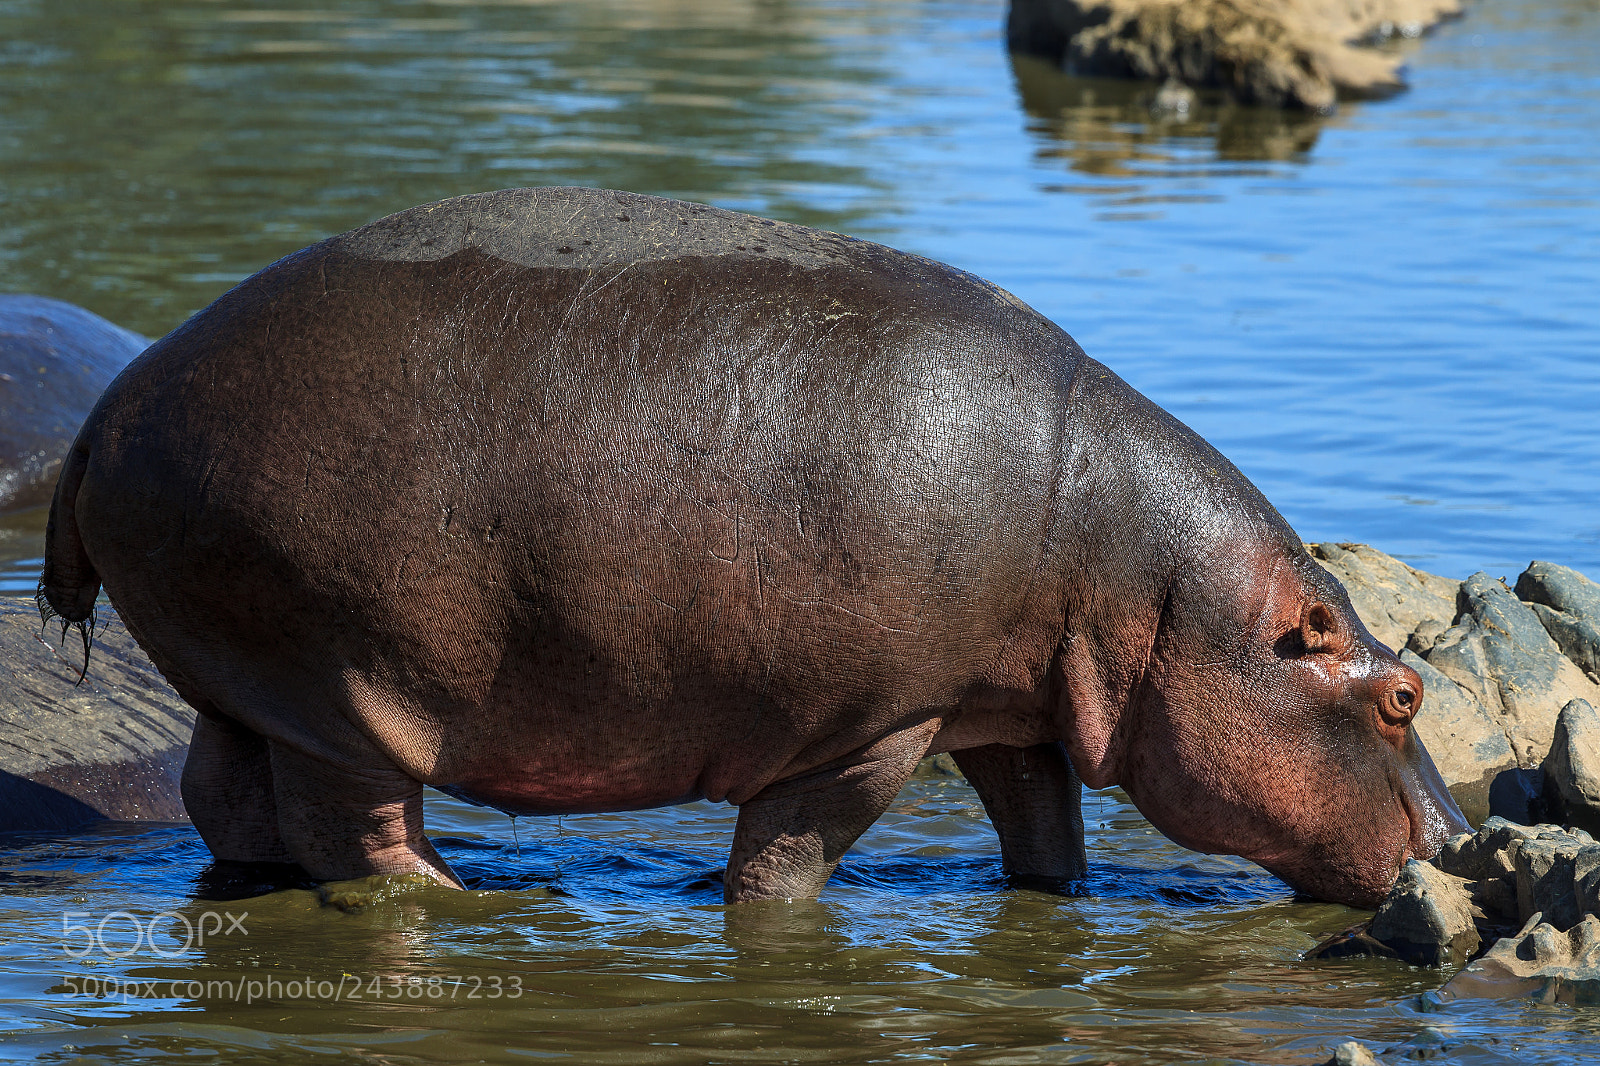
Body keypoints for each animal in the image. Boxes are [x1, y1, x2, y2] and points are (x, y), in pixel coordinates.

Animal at [39, 187, 1466, 905]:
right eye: (1401, 695)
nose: (1462, 845)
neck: (1155, 586)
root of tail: (109, 410)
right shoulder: (880, 720)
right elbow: (789, 856)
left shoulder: (1004, 701)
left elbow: (1043, 823)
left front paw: (1056, 901)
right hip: (345, 680)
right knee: (358, 830)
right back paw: (471, 897)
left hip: (242, 669)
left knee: (226, 792)